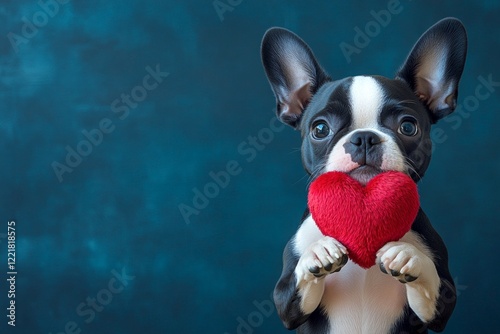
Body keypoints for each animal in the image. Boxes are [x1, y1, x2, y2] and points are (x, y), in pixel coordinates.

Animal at [264, 18, 466, 334]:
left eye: (408, 127)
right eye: (320, 129)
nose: (364, 138)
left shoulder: (441, 305)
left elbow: (434, 287)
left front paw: (409, 255)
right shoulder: (286, 301)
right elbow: (292, 286)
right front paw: (318, 251)